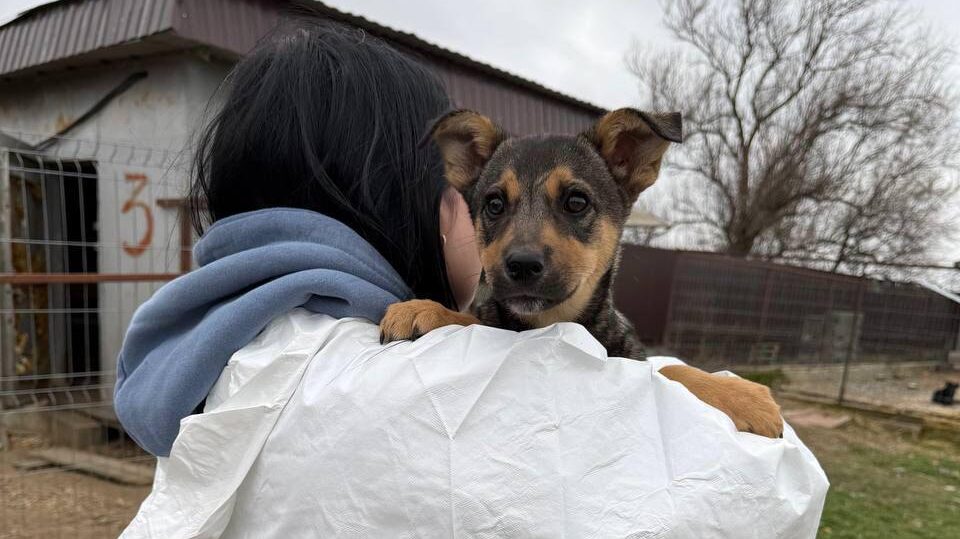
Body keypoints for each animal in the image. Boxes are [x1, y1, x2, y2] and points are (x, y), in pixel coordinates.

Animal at [376, 109, 780, 438]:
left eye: (576, 202)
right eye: (494, 204)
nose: (522, 265)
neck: (550, 321)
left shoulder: (629, 357)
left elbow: (669, 370)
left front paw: (743, 396)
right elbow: (475, 319)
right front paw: (424, 309)